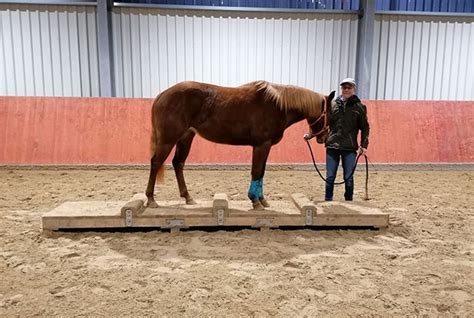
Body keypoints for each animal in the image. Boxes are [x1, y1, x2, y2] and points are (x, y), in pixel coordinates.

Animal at [146, 80, 336, 209]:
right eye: (330, 112)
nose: (324, 138)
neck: (276, 105)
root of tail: (162, 95)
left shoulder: (266, 146)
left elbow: (261, 172)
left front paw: (262, 200)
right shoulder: (261, 145)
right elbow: (256, 171)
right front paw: (255, 201)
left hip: (185, 138)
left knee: (178, 163)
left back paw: (188, 197)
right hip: (168, 140)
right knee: (156, 163)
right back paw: (151, 199)